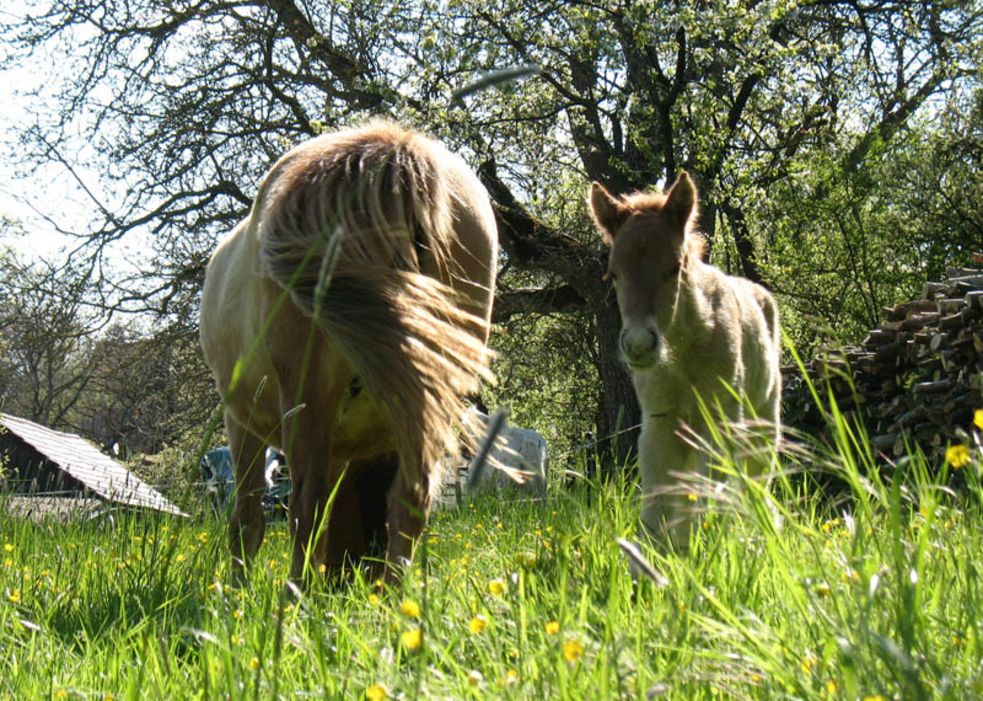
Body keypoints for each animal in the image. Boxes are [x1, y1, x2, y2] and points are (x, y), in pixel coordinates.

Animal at [198, 123, 500, 584]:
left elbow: (248, 518)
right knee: (408, 500)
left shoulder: (242, 423)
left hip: (305, 394)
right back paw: (394, 592)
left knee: (305, 503)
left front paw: (237, 589)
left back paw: (296, 593)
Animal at [588, 172, 780, 548]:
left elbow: (712, 491)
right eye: (613, 274)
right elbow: (659, 502)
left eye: (674, 268)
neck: (682, 358)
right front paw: (663, 556)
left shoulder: (720, 421)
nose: (638, 345)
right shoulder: (659, 423)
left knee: (755, 484)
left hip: (763, 421)